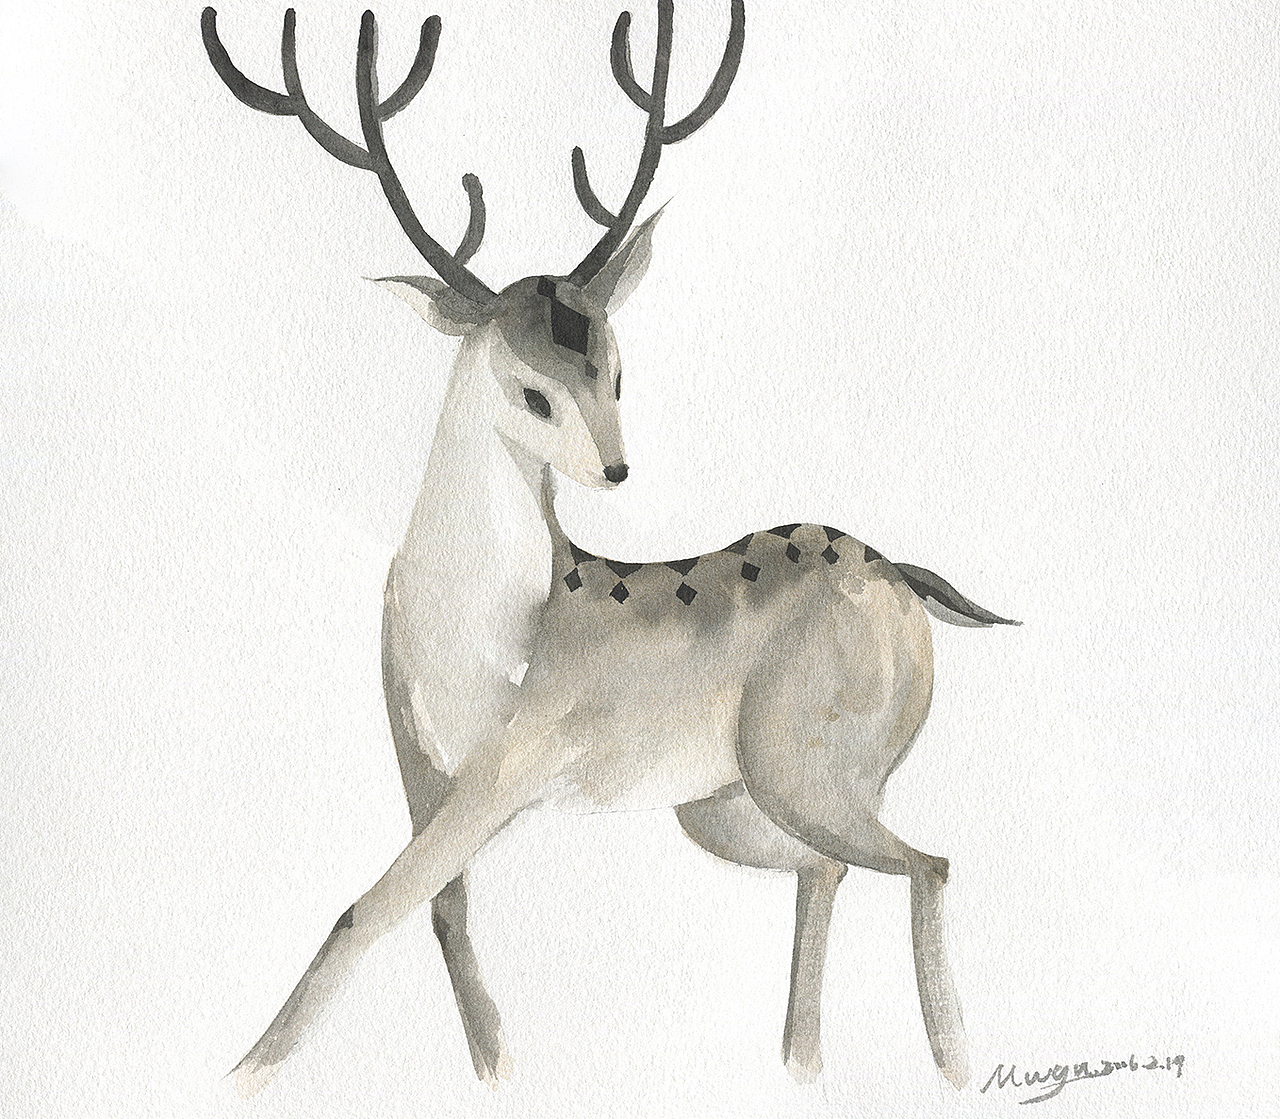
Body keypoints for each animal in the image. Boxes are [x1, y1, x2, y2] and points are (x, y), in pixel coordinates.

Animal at [203, 0, 1017, 1098]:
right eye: (533, 390)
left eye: (618, 373)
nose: (619, 471)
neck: (474, 626)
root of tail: (906, 579)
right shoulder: (418, 752)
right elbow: (440, 911)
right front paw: (494, 1068)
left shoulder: (518, 753)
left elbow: (361, 911)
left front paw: (246, 1070)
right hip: (725, 801)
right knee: (832, 866)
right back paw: (799, 1063)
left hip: (801, 759)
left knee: (925, 861)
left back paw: (949, 1064)